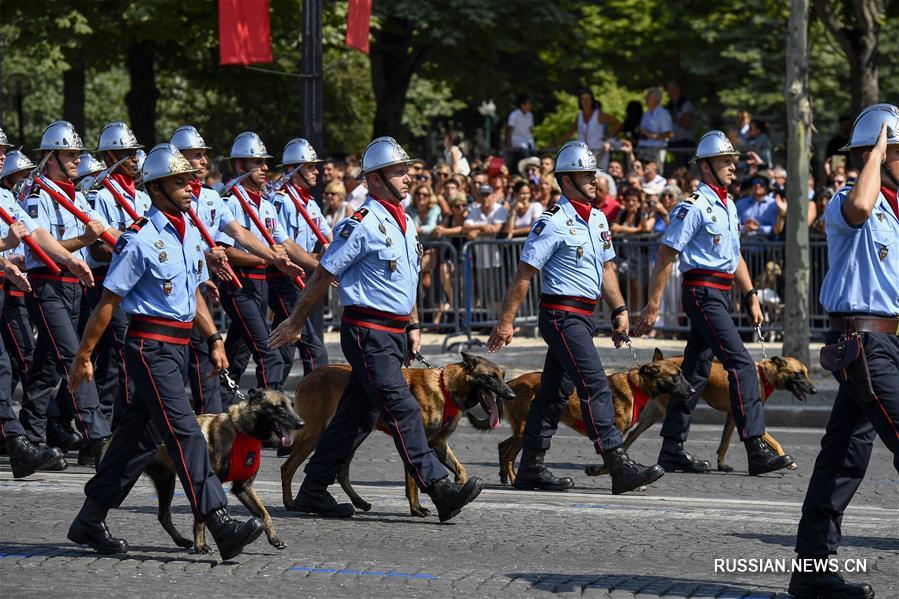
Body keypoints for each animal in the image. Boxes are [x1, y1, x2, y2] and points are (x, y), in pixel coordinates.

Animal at [144, 390, 304, 552]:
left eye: (291, 405)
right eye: (280, 406)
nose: (301, 424)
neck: (242, 431)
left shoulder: (243, 488)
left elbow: (264, 514)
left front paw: (275, 539)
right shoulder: (205, 483)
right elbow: (201, 518)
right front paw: (200, 545)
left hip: (166, 482)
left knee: (163, 516)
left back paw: (180, 540)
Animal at [284, 354, 516, 516]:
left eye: (503, 377)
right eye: (491, 378)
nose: (511, 395)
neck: (445, 388)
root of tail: (308, 377)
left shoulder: (438, 443)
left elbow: (461, 469)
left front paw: (459, 487)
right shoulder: (415, 437)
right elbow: (413, 480)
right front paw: (417, 509)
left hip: (351, 435)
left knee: (341, 472)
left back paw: (358, 502)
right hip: (313, 435)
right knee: (287, 468)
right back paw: (291, 503)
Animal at [464, 354, 696, 490]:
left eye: (682, 374)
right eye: (676, 376)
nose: (693, 391)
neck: (635, 384)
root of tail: (511, 382)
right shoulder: (614, 431)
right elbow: (608, 461)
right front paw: (625, 480)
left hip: (520, 429)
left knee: (503, 446)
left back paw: (505, 476)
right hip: (522, 429)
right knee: (510, 455)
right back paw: (515, 480)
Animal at [616, 352, 820, 474]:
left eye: (807, 373)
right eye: (799, 374)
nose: (815, 390)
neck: (763, 374)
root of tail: (657, 362)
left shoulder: (732, 416)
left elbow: (725, 442)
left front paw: (721, 464)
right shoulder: (743, 415)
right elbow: (773, 440)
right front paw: (787, 460)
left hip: (653, 413)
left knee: (632, 433)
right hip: (666, 410)